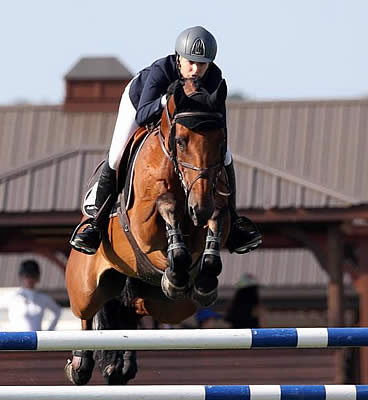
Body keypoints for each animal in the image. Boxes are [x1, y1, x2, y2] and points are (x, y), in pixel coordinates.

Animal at [63, 77, 230, 384]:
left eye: (220, 141)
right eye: (180, 141)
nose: (198, 207)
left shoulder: (213, 207)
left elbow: (216, 219)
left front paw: (202, 278)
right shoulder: (144, 225)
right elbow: (167, 205)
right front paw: (177, 265)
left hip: (169, 305)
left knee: (130, 309)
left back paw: (121, 364)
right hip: (85, 286)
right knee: (86, 313)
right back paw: (80, 364)